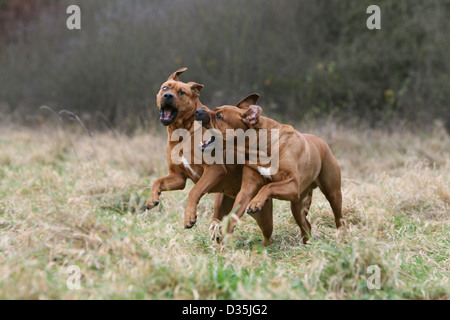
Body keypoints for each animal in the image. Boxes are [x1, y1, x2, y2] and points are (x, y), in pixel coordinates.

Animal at [146, 69, 272, 241]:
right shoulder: (178, 177)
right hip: (221, 204)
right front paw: (152, 198)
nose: (168, 96)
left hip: (261, 213)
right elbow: (157, 181)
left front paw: (189, 217)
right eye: (165, 88)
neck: (182, 133)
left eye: (181, 92)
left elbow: (194, 191)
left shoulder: (214, 170)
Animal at [194, 94, 344, 244]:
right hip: (298, 204)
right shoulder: (247, 189)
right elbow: (235, 212)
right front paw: (222, 232)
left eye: (219, 116)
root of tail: (323, 143)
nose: (198, 111)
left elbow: (269, 186)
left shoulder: (293, 183)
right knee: (305, 225)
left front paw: (256, 203)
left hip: (332, 192)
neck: (260, 147)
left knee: (338, 218)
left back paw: (341, 237)